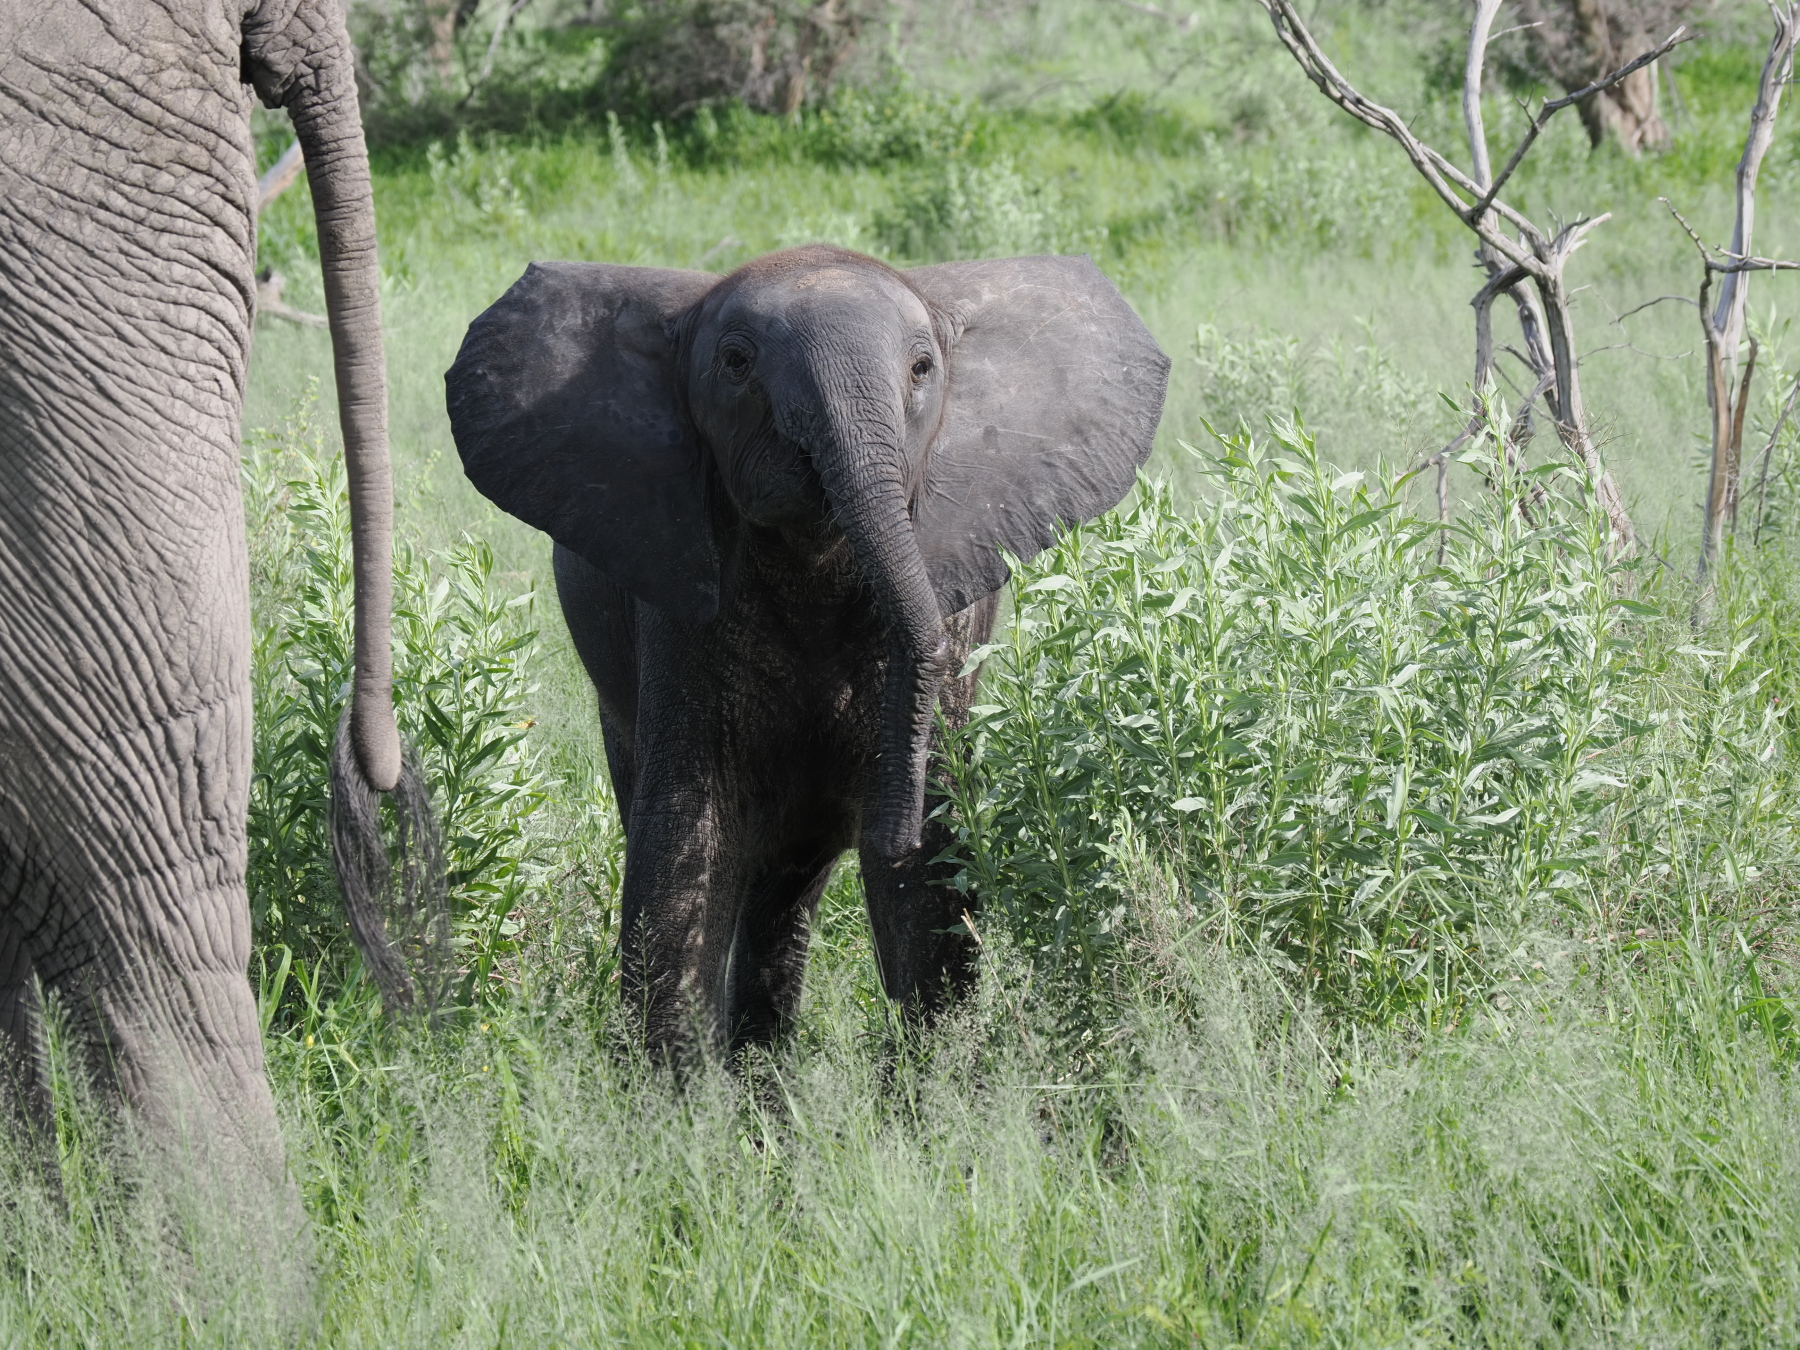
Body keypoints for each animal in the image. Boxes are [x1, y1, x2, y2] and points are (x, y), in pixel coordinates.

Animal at [447, 245, 1169, 1059]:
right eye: (735, 363)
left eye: (923, 367)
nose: (889, 827)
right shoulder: (681, 598)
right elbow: (687, 849)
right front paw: (674, 1095)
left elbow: (927, 888)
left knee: (786, 888)